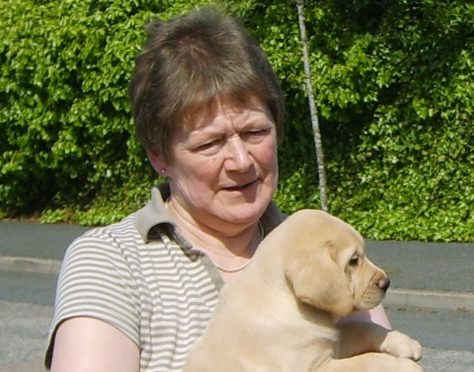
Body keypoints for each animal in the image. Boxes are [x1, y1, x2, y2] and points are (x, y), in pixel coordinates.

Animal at [183, 211, 424, 370]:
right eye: (353, 261)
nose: (387, 282)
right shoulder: (314, 367)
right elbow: (367, 361)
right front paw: (406, 367)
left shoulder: (329, 342)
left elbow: (359, 327)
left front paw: (403, 342)